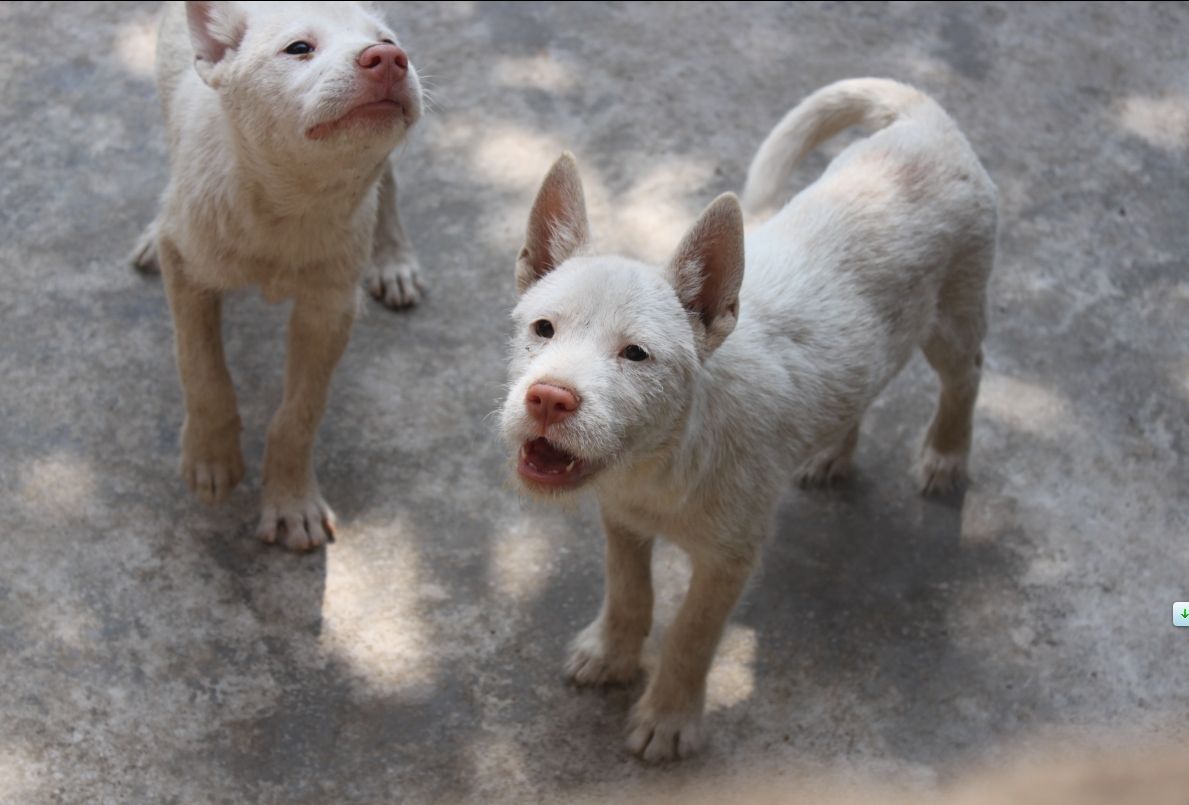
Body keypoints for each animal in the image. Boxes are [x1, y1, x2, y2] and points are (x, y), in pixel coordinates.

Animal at [136, 0, 425, 549]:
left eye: (388, 41)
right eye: (299, 48)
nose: (388, 58)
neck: (289, 204)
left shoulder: (330, 306)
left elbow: (300, 413)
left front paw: (292, 502)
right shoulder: (186, 268)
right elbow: (200, 366)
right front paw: (211, 456)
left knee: (392, 177)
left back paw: (395, 257)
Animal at [497, 78, 998, 761]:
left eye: (636, 355)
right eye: (543, 328)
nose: (548, 398)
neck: (666, 456)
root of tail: (924, 119)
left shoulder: (730, 559)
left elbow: (690, 635)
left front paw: (668, 717)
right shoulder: (620, 518)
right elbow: (628, 591)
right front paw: (612, 653)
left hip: (955, 316)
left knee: (966, 376)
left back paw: (947, 453)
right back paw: (833, 449)